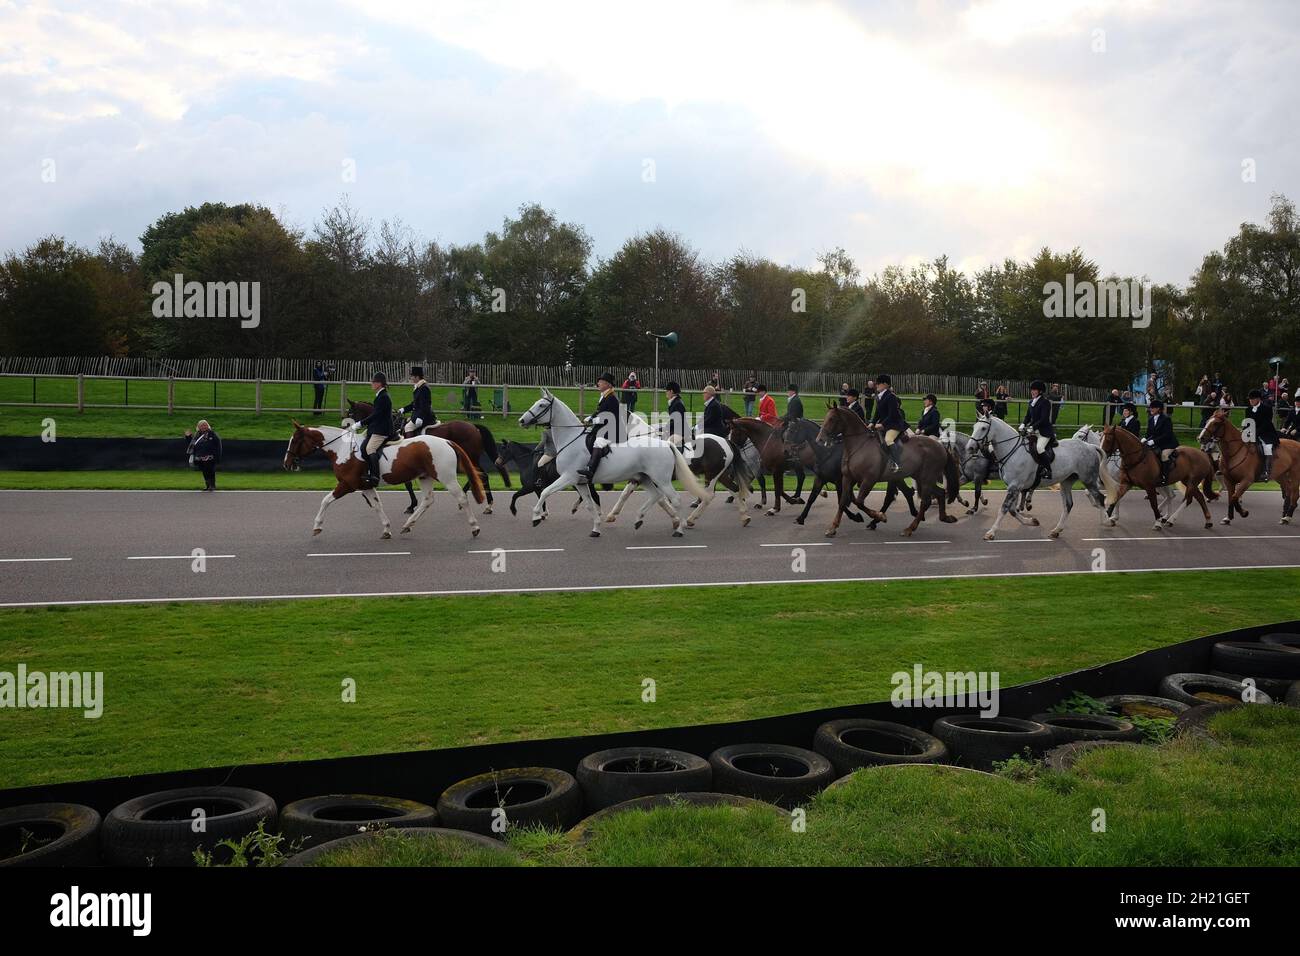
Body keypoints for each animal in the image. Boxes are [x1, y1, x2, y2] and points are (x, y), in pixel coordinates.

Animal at [282, 421, 486, 541]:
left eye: (295, 441)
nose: (286, 463)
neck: (341, 449)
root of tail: (446, 441)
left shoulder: (347, 485)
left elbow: (325, 500)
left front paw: (317, 527)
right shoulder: (364, 486)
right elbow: (377, 505)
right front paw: (387, 529)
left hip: (447, 478)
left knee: (461, 498)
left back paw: (475, 527)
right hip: (425, 477)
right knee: (427, 500)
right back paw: (407, 525)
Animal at [345, 398, 506, 515]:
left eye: (351, 414)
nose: (346, 429)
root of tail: (473, 426)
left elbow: (408, 484)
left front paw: (411, 506)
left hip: (470, 457)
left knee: (481, 475)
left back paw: (487, 505)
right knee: (476, 475)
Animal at [514, 390, 712, 538]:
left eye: (541, 405)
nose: (521, 421)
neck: (570, 440)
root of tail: (666, 444)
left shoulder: (568, 478)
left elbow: (545, 492)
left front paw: (536, 516)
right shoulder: (580, 483)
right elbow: (589, 505)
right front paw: (596, 528)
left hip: (661, 479)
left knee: (674, 499)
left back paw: (679, 529)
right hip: (644, 478)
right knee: (657, 496)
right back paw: (639, 519)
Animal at [816, 405, 961, 538]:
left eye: (832, 419)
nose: (819, 440)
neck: (858, 445)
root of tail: (940, 445)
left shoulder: (869, 480)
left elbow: (859, 502)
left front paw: (880, 516)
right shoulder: (848, 478)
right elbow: (843, 501)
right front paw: (832, 528)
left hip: (926, 478)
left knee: (926, 501)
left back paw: (909, 528)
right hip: (922, 478)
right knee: (940, 493)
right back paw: (945, 517)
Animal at [967, 416, 1107, 541]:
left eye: (984, 428)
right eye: (974, 427)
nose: (970, 447)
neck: (1013, 450)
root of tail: (1090, 446)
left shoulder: (1014, 486)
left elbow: (1004, 508)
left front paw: (991, 532)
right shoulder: (1014, 487)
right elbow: (1012, 510)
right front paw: (1031, 521)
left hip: (1088, 480)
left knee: (1100, 498)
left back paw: (1107, 521)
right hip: (1066, 482)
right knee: (1068, 504)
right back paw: (1056, 530)